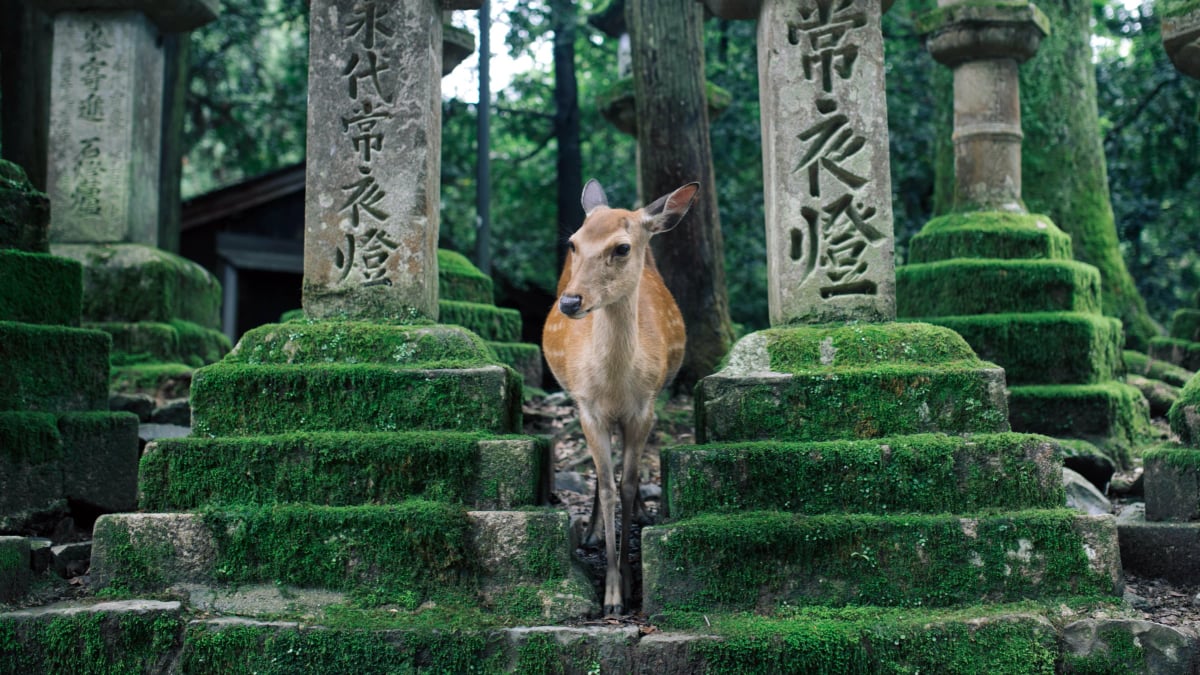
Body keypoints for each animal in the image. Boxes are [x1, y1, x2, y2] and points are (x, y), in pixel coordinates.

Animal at [542, 178, 698, 616]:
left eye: (622, 247)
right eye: (573, 243)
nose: (570, 302)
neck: (613, 385)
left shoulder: (643, 408)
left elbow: (627, 485)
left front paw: (629, 585)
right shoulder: (588, 408)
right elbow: (610, 485)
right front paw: (610, 595)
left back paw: (643, 515)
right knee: (600, 474)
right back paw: (592, 532)